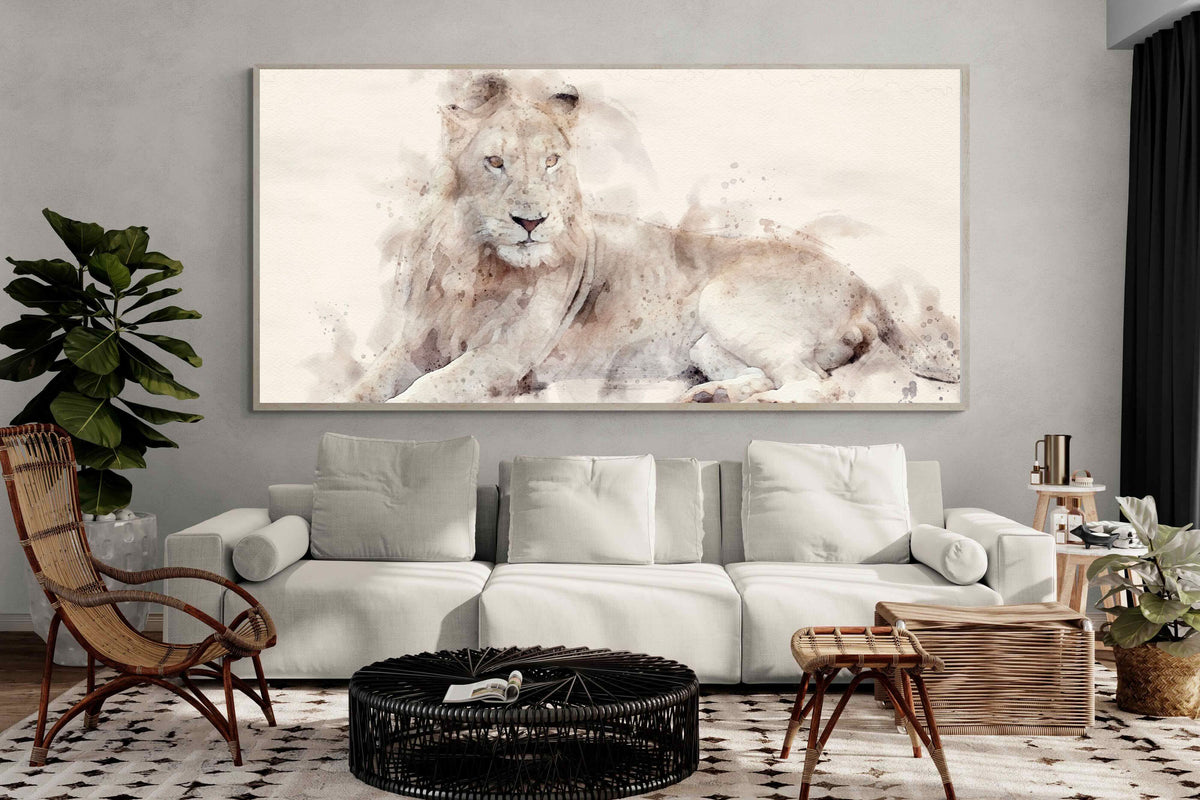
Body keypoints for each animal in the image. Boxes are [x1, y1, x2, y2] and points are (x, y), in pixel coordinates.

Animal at [341, 73, 960, 404]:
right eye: (495, 162)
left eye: (551, 162)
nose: (531, 222)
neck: (473, 264)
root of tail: (865, 285)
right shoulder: (414, 343)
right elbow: (368, 387)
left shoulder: (502, 358)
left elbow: (425, 391)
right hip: (708, 346)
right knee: (777, 376)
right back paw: (710, 396)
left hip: (727, 305)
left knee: (818, 388)